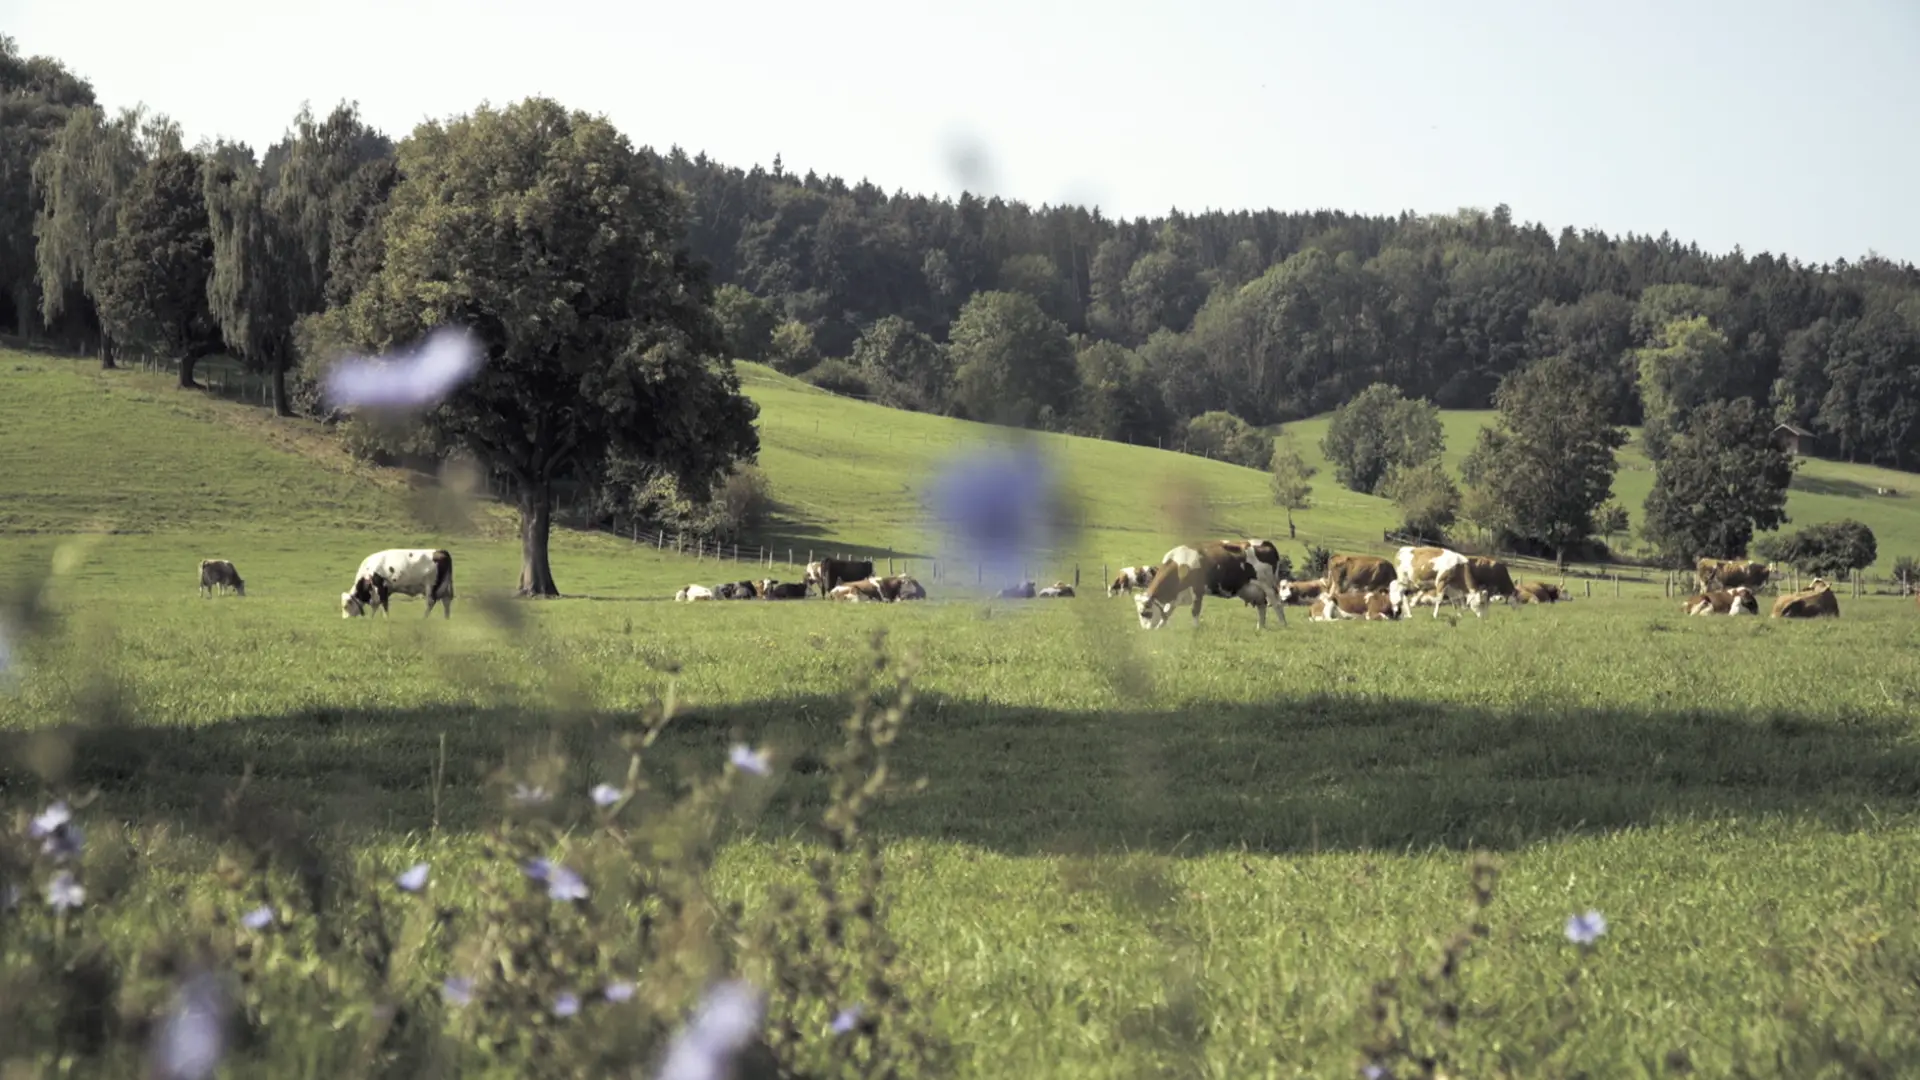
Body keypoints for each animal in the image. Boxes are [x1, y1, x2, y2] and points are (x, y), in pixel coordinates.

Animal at [1128, 538, 1282, 630]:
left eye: (1144, 613)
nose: (1146, 630)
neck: (1180, 564)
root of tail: (1265, 542)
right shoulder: (1179, 594)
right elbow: (1167, 611)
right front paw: (1160, 627)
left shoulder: (1198, 590)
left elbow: (1195, 610)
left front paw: (1195, 629)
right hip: (1254, 590)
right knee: (1262, 607)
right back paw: (1260, 627)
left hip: (1269, 586)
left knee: (1277, 605)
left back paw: (1283, 627)